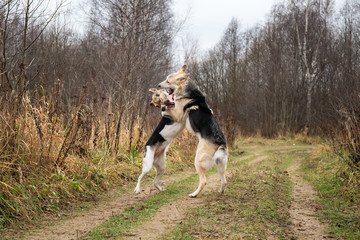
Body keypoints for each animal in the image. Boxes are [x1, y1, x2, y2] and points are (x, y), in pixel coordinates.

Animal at [158, 63, 228, 197]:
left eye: (168, 81)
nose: (158, 85)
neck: (186, 91)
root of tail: (221, 143)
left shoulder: (178, 115)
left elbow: (170, 108)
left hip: (198, 161)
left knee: (204, 181)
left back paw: (194, 194)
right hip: (220, 164)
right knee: (224, 180)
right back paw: (220, 191)